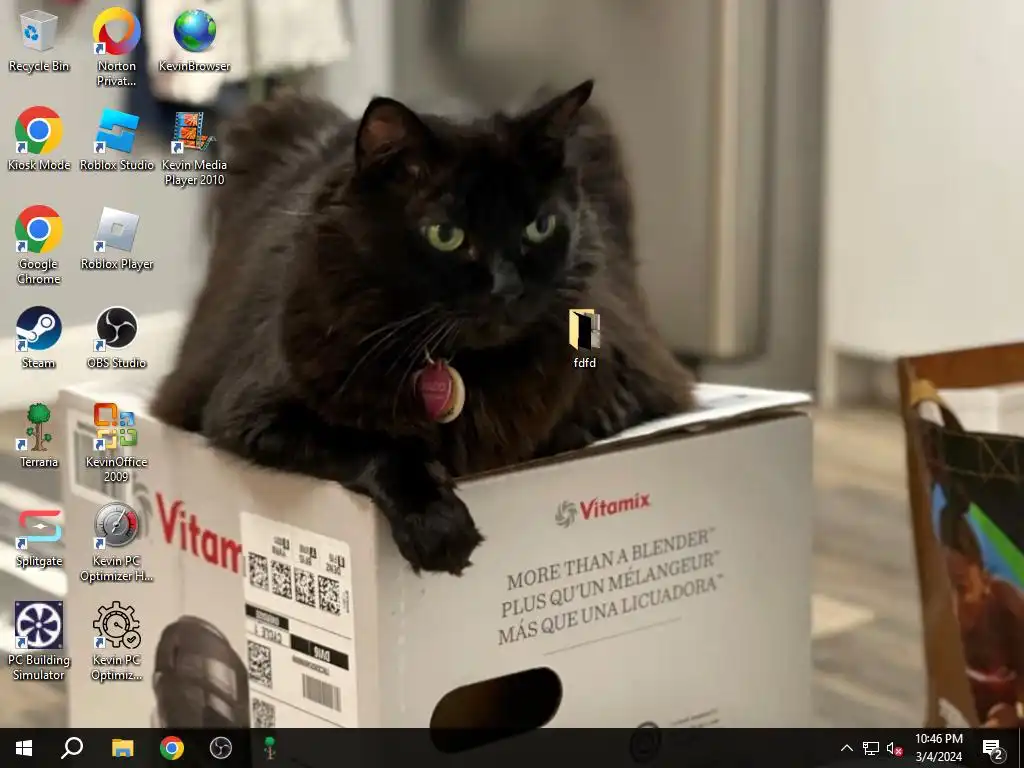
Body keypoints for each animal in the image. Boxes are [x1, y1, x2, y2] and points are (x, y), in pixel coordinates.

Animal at [152, 80, 695, 575]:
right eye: (445, 235)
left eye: (539, 227)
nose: (507, 289)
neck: (457, 364)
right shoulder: (251, 409)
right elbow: (377, 442)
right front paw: (436, 523)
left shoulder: (629, 384)